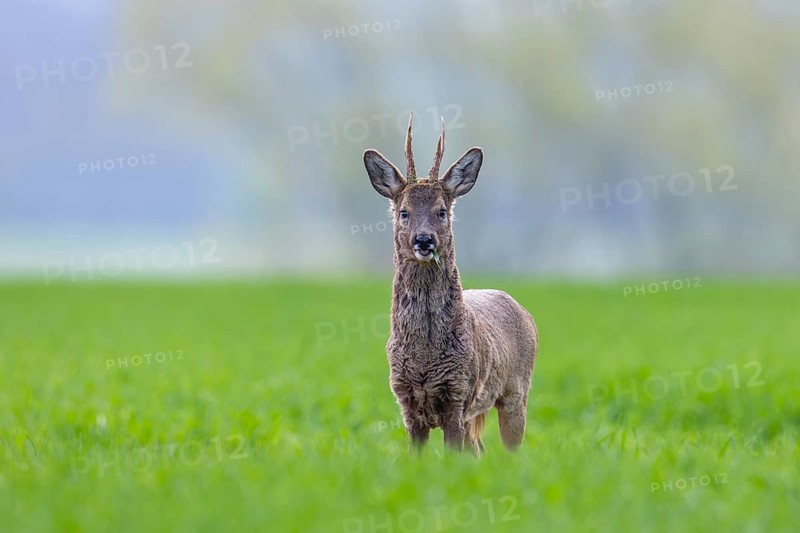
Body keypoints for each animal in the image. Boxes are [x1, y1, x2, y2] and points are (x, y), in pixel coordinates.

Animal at [362, 113, 539, 454]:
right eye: (404, 212)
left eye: (442, 211)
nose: (424, 240)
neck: (425, 358)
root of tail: (523, 310)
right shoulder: (406, 399)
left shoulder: (458, 394)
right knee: (480, 450)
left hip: (517, 391)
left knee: (513, 449)